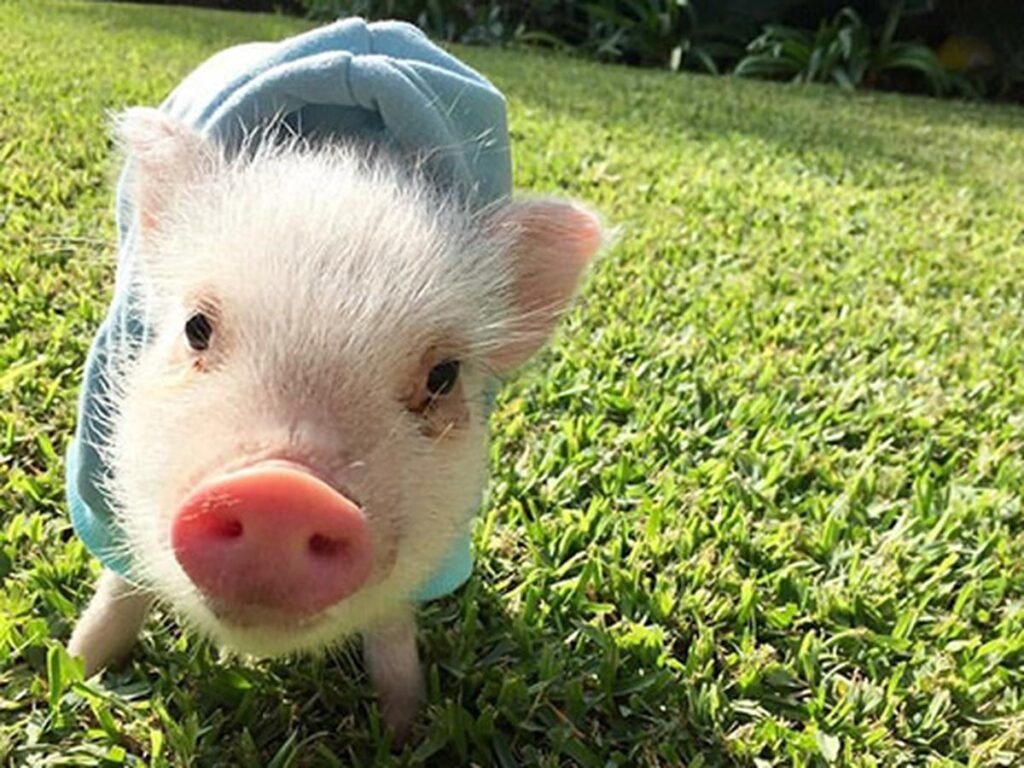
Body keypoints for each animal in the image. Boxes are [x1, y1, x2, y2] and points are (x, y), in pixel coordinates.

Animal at [67, 107, 603, 738]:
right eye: (197, 327)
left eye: (443, 375)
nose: (281, 491)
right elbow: (121, 579)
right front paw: (76, 670)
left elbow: (392, 626)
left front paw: (405, 728)